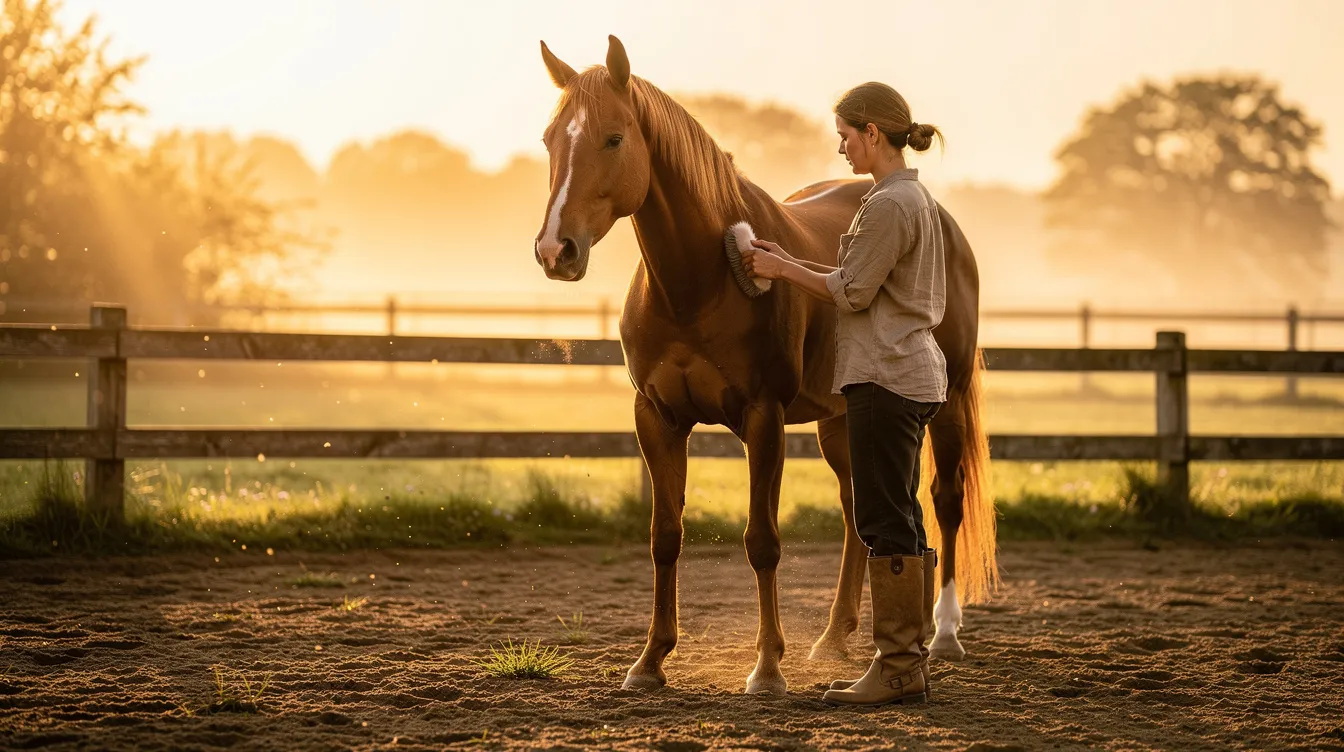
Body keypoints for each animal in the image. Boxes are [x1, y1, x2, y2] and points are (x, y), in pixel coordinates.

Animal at [532, 35, 996, 695]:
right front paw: (650, 661)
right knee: (858, 514)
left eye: (614, 138)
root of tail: (946, 224)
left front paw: (768, 666)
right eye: (551, 139)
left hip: (948, 398)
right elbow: (664, 537)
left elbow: (762, 541)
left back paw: (946, 633)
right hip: (841, 419)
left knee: (945, 500)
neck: (696, 284)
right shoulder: (657, 419)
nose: (555, 250)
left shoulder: (763, 417)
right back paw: (834, 637)